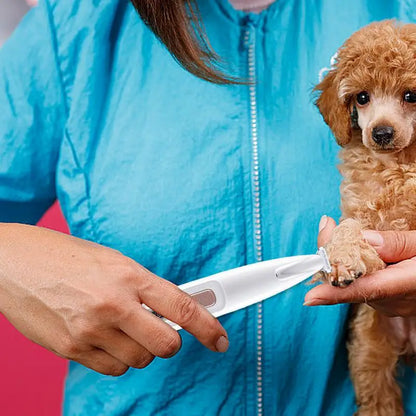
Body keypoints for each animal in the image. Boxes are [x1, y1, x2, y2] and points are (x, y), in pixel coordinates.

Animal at [316, 20, 416, 416]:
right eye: (362, 98)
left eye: (410, 96)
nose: (381, 133)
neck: (396, 165)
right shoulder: (359, 208)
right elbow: (349, 227)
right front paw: (343, 256)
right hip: (369, 352)